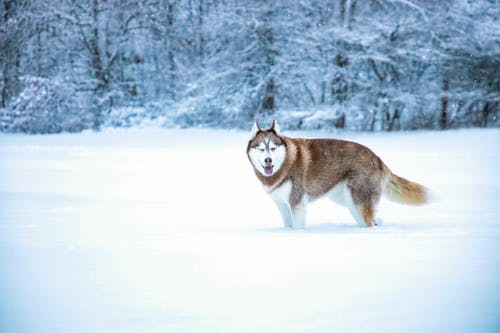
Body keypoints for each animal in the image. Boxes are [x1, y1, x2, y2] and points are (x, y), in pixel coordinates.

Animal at [248, 120, 428, 228]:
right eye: (261, 149)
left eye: (272, 148)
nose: (268, 161)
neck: (285, 163)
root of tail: (377, 158)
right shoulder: (282, 204)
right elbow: (287, 224)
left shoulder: (297, 203)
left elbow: (297, 227)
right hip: (346, 200)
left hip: (357, 201)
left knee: (368, 222)